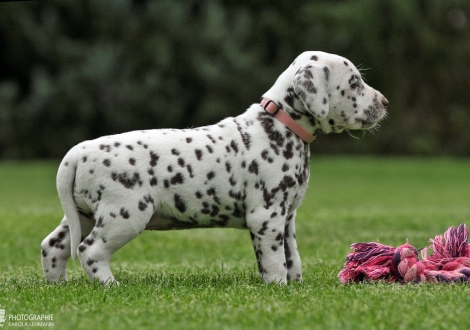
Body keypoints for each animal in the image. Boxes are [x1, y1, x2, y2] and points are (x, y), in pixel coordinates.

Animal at [40, 51, 388, 284]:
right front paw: (278, 287)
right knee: (90, 251)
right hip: (124, 215)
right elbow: (275, 261)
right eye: (354, 82)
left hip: (82, 215)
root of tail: (77, 153)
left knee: (54, 246)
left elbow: (293, 258)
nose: (385, 103)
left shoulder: (286, 217)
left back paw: (58, 286)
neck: (279, 125)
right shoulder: (266, 216)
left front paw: (296, 287)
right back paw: (111, 285)